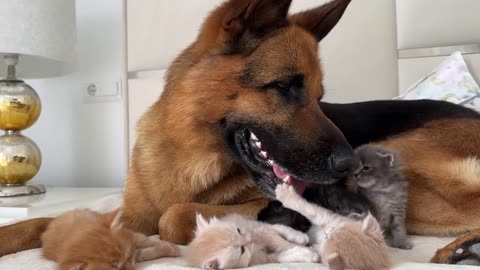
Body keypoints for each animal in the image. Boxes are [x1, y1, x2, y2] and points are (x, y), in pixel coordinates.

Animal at [2, 0, 480, 262]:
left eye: (320, 96)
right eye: (286, 87)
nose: (350, 164)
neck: (188, 152)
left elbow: (173, 217)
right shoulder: (128, 211)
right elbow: (45, 221)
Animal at [40, 209, 180, 270]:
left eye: (127, 255)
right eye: (114, 268)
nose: (130, 268)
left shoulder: (133, 238)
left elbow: (145, 241)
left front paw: (168, 246)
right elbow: (143, 253)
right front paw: (168, 249)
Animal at [188, 213, 318, 268]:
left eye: (238, 230)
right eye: (242, 250)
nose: (250, 239)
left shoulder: (259, 228)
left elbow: (279, 234)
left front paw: (300, 238)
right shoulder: (263, 259)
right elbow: (283, 253)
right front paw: (306, 252)